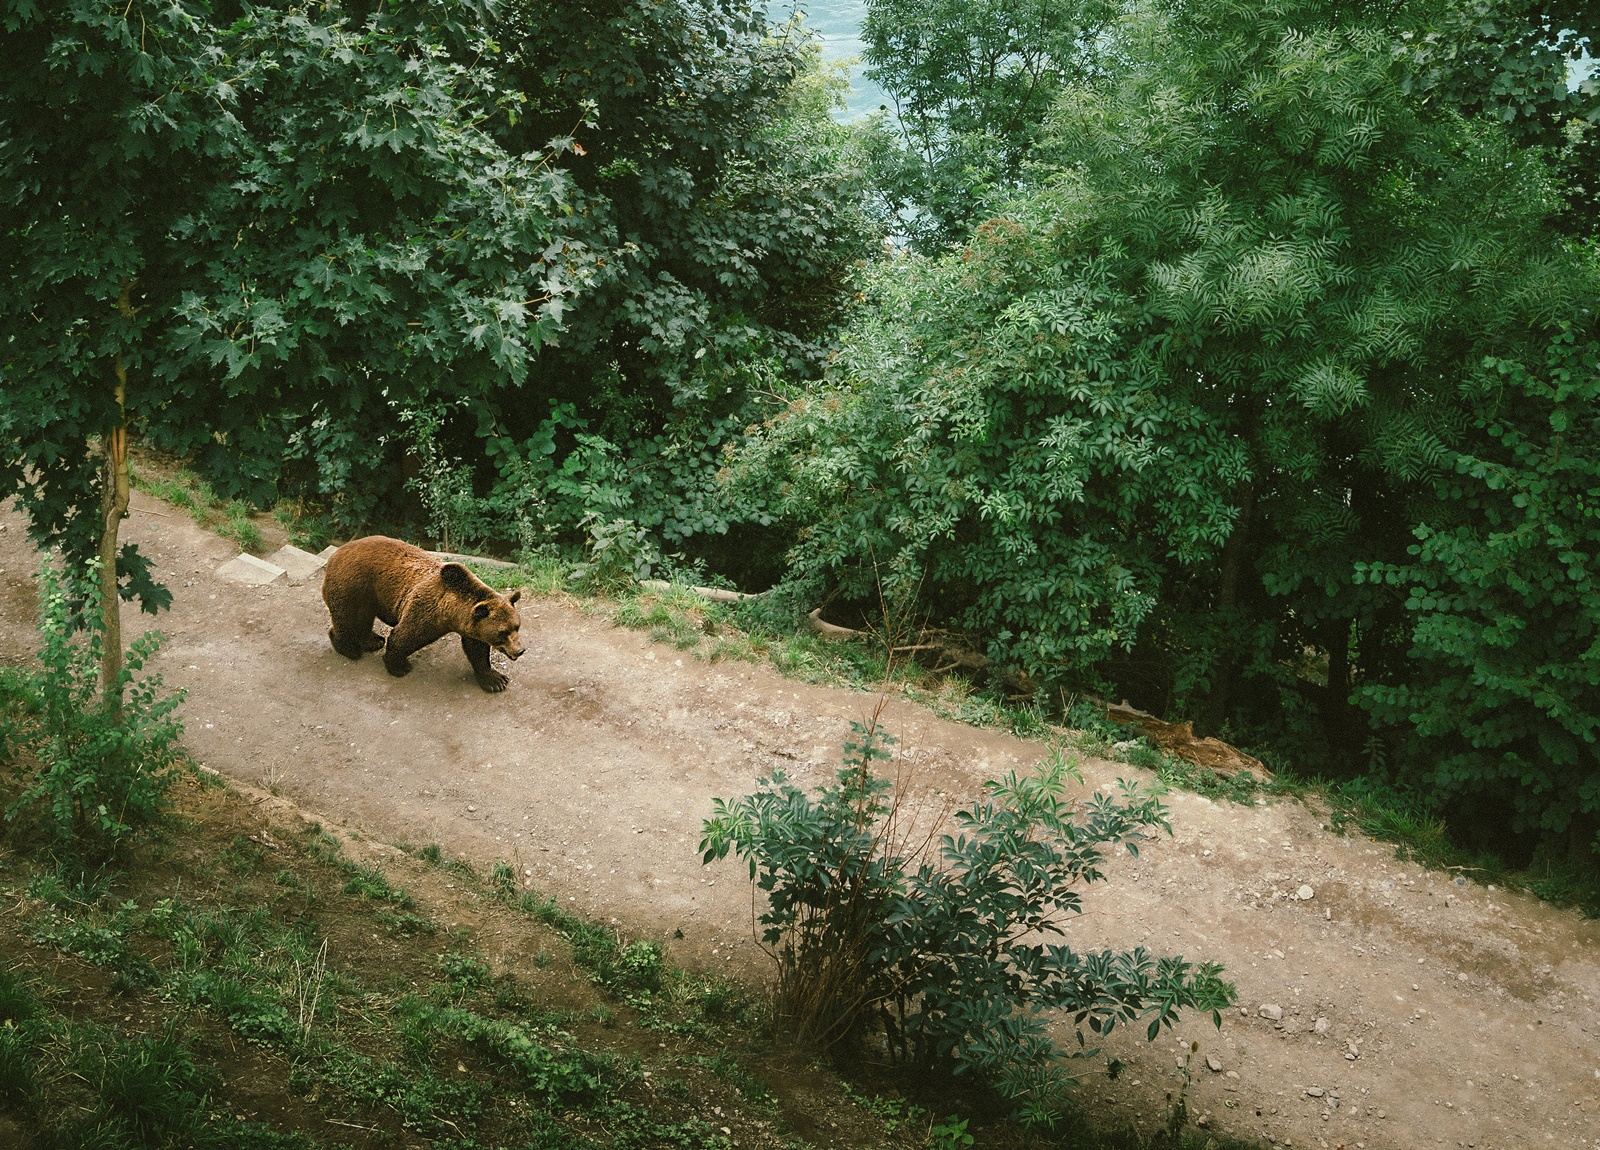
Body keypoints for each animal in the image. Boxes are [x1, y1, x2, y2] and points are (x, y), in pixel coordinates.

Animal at [323, 537, 524, 694]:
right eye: (503, 632)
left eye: (517, 626)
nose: (519, 650)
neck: (452, 611)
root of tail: (337, 553)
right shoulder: (426, 610)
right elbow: (404, 636)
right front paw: (399, 666)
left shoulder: (471, 625)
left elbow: (478, 650)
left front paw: (495, 680)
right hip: (352, 585)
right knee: (348, 617)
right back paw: (349, 648)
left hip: (369, 595)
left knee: (363, 617)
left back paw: (372, 641)